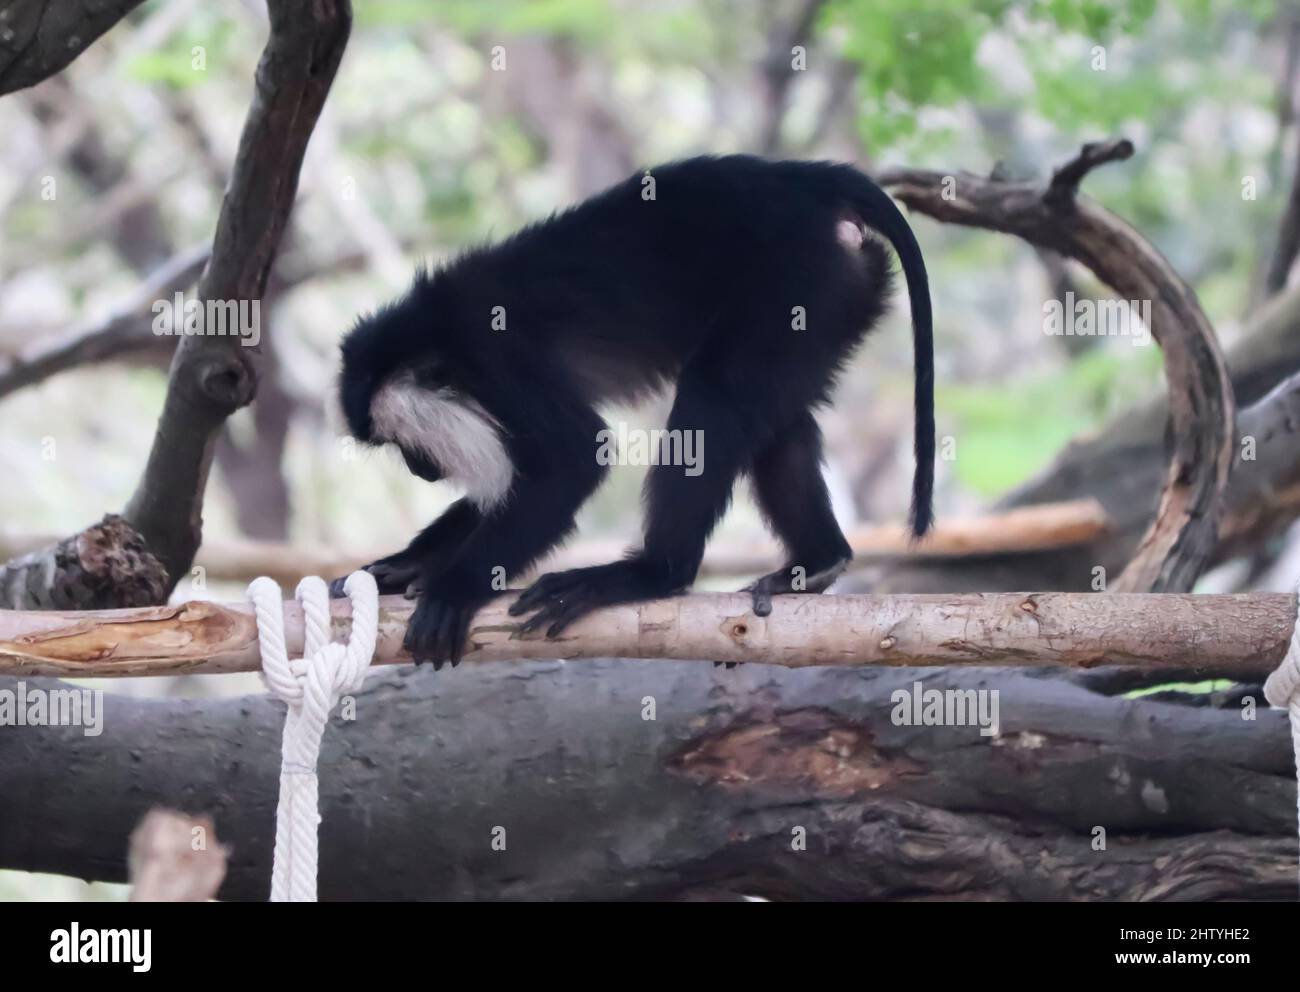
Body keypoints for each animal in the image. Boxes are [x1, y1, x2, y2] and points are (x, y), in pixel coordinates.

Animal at [330, 155, 930, 665]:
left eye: (403, 444)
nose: (419, 471)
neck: (436, 330)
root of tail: (807, 182)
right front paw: (404, 565)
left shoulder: (500, 356)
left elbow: (570, 461)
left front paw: (455, 588)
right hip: (841, 294)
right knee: (778, 422)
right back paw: (818, 562)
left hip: (800, 279)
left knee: (714, 396)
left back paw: (651, 574)